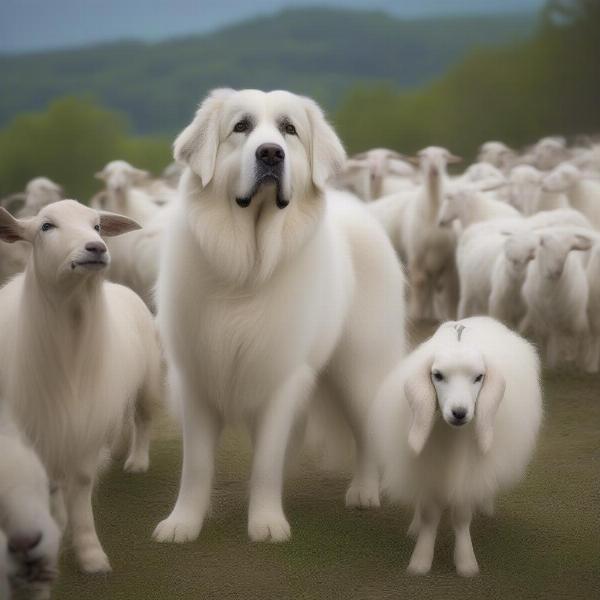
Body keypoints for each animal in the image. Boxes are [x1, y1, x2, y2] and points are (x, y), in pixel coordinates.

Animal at [0, 202, 162, 572]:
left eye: (98, 226)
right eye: (46, 226)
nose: (96, 248)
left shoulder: (85, 424)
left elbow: (82, 483)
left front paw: (90, 554)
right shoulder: (42, 427)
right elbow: (49, 485)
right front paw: (55, 527)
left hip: (147, 383)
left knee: (142, 419)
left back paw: (137, 460)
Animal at [154, 89, 408, 544]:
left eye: (289, 129)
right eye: (241, 127)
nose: (271, 153)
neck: (247, 268)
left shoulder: (280, 377)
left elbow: (266, 461)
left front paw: (266, 522)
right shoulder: (197, 377)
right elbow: (197, 464)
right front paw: (183, 523)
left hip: (359, 370)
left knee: (366, 433)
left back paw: (364, 492)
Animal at [370, 318, 544, 576]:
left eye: (479, 377)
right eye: (437, 375)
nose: (459, 412)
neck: (452, 437)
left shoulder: (468, 473)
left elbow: (462, 516)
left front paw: (466, 563)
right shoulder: (427, 467)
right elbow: (429, 514)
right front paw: (420, 561)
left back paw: (486, 504)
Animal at [400, 146, 462, 318]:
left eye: (444, 156)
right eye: (423, 156)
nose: (434, 170)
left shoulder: (450, 259)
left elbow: (448, 287)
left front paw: (450, 316)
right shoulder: (416, 253)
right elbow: (418, 283)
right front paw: (415, 313)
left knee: (437, 285)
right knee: (425, 284)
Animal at [516, 225, 592, 366]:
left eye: (570, 249)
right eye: (543, 244)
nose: (557, 271)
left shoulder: (563, 319)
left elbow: (561, 339)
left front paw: (555, 362)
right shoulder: (539, 316)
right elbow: (544, 336)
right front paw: (547, 360)